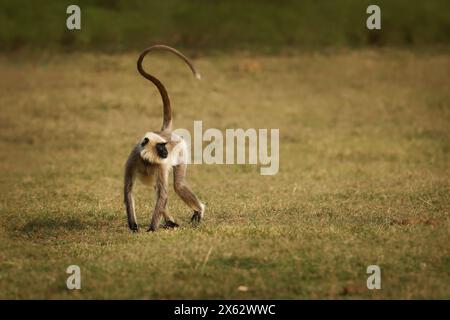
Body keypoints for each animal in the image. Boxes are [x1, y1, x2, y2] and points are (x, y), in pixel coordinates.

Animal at [122, 44, 205, 232]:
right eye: (161, 147)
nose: (166, 152)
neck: (146, 160)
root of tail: (165, 131)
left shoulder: (159, 165)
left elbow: (163, 194)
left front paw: (152, 228)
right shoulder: (132, 159)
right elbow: (129, 190)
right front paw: (133, 226)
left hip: (181, 150)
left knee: (177, 186)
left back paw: (199, 210)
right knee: (158, 188)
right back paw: (170, 221)